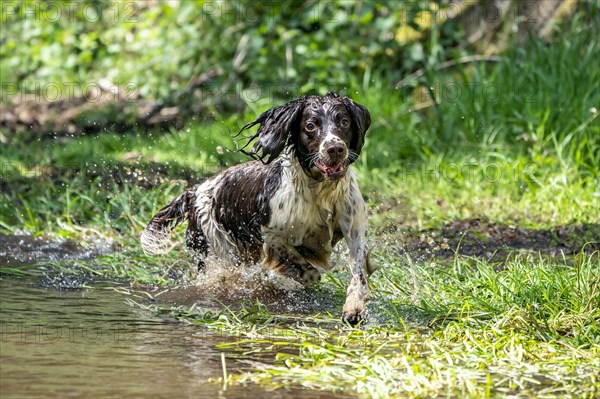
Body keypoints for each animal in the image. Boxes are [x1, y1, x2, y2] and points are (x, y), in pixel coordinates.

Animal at [141, 94, 376, 324]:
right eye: (310, 125)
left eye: (344, 122)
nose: (335, 149)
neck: (321, 192)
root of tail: (195, 191)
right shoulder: (270, 233)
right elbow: (305, 268)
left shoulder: (355, 231)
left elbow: (358, 273)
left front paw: (354, 308)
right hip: (219, 251)